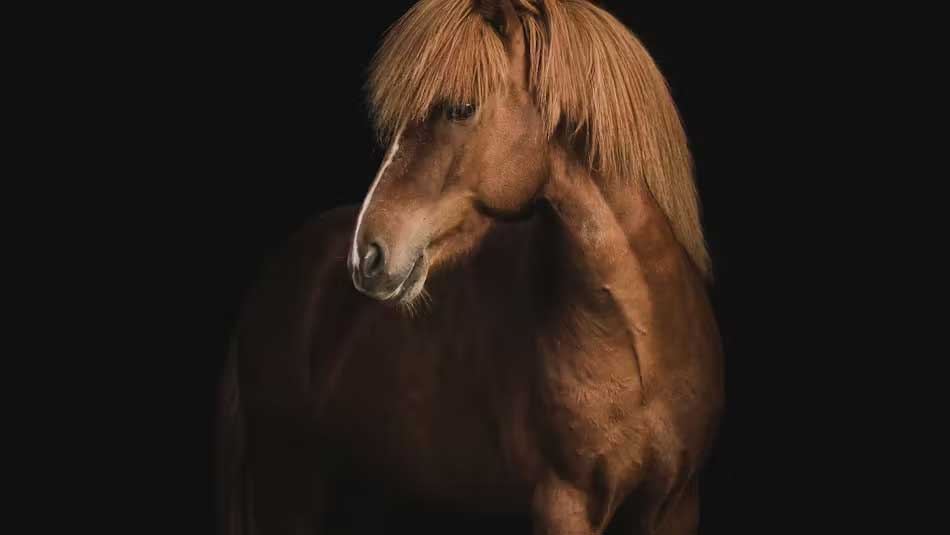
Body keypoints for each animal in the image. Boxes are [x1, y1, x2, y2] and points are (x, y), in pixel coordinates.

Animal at [219, 2, 724, 532]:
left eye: (461, 108)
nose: (368, 256)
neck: (640, 342)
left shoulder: (676, 504)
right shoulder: (563, 504)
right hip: (288, 486)